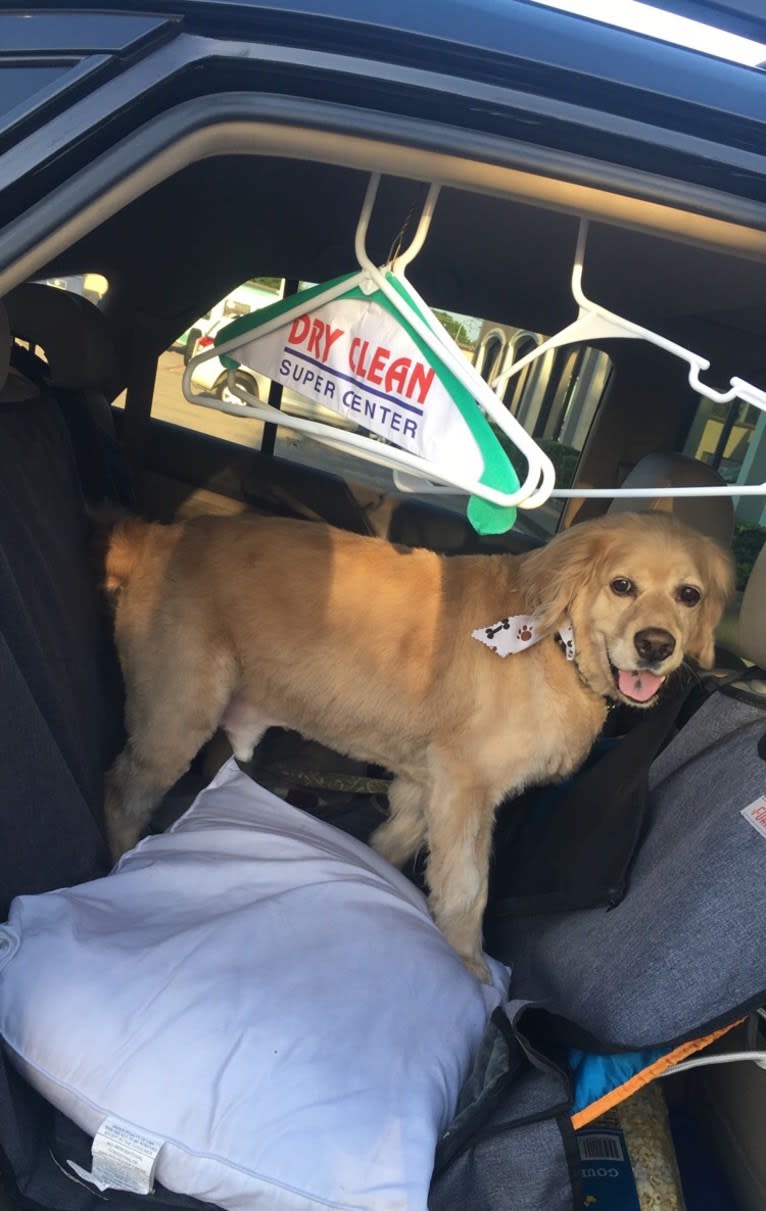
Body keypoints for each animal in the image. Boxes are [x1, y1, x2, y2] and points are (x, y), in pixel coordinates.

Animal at [99, 506, 730, 978]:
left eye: (689, 595)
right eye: (622, 586)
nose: (656, 645)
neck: (556, 644)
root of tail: (158, 536)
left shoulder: (426, 782)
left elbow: (394, 841)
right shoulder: (466, 786)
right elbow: (467, 889)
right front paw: (468, 970)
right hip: (176, 714)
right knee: (121, 795)